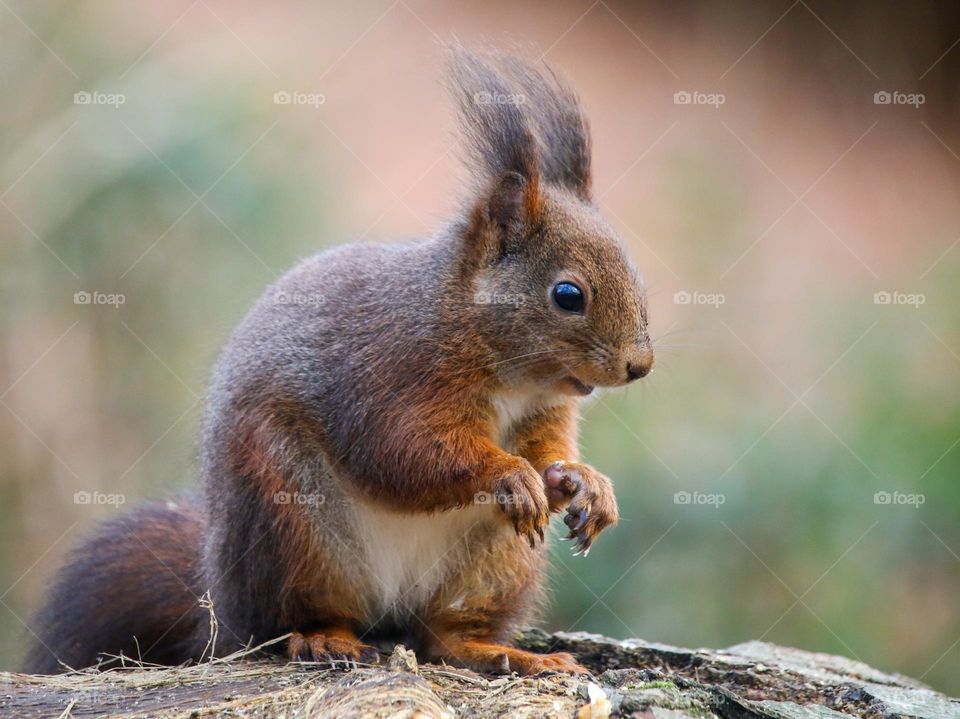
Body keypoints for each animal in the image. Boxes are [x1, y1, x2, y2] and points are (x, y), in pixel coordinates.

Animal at [22, 47, 652, 676]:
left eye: (635, 270)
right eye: (567, 295)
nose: (639, 366)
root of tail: (218, 599)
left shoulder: (543, 410)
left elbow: (548, 451)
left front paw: (583, 484)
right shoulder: (388, 374)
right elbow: (406, 453)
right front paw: (509, 475)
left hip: (494, 564)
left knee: (443, 637)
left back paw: (502, 651)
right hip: (290, 520)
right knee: (294, 619)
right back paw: (326, 638)